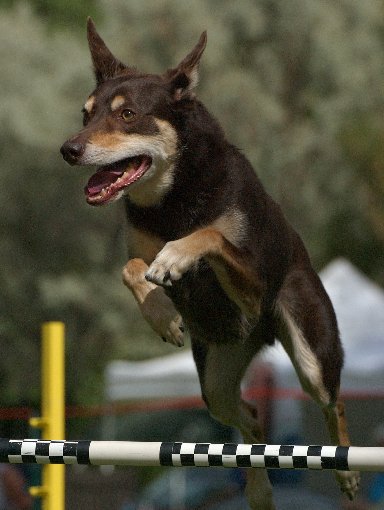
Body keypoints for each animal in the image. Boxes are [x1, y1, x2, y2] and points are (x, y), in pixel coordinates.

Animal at [61, 19, 362, 510]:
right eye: (85, 114)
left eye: (127, 115)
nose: (68, 149)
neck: (173, 198)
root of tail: (260, 337)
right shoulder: (138, 249)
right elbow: (130, 269)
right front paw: (163, 316)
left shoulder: (252, 288)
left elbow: (210, 235)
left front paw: (175, 257)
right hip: (217, 381)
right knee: (252, 416)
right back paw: (258, 488)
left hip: (309, 346)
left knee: (331, 401)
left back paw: (347, 470)